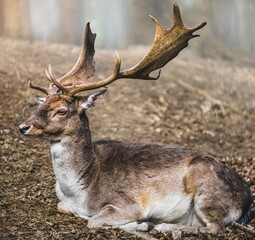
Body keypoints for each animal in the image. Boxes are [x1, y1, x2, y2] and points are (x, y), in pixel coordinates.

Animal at [18, 2, 253, 234]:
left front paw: (142, 223)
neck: (81, 193)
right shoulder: (66, 203)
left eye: (62, 111)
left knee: (216, 227)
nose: (23, 126)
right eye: (41, 104)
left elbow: (94, 220)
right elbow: (63, 207)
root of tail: (247, 199)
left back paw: (164, 226)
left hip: (206, 193)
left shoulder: (129, 203)